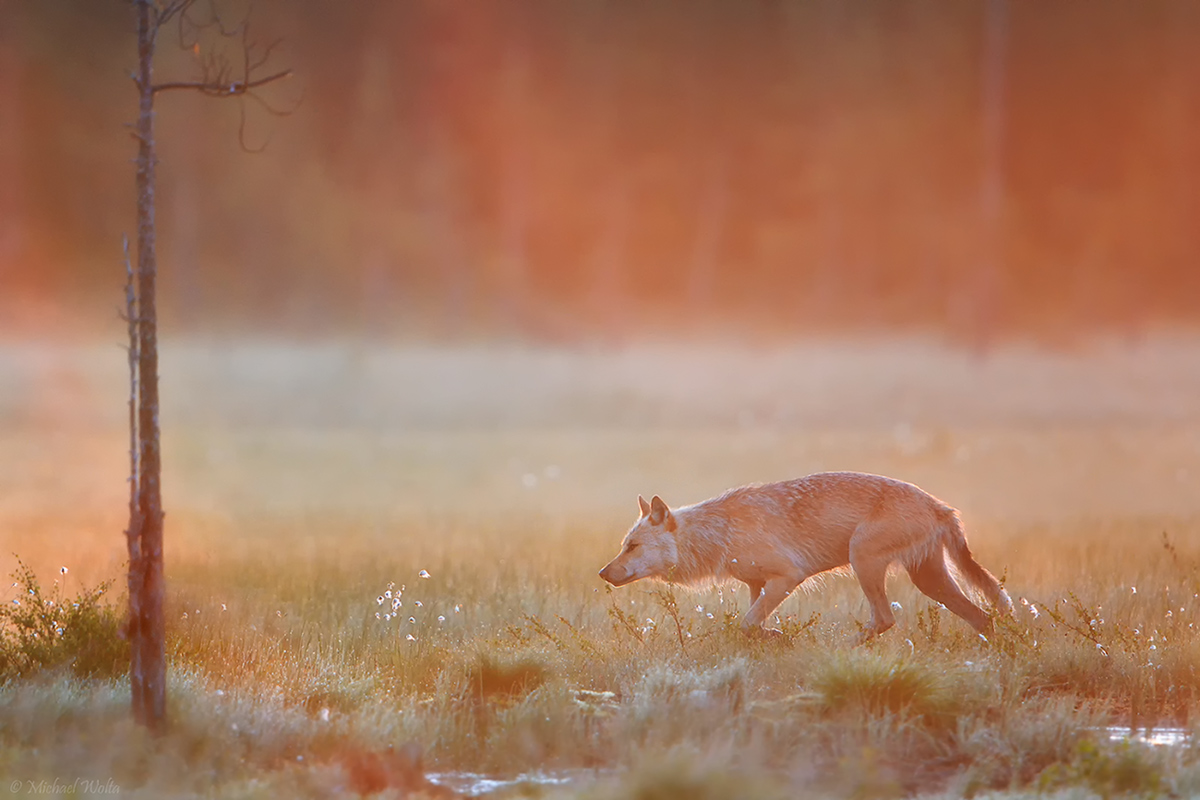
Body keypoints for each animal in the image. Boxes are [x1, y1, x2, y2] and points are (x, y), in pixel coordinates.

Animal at [600, 472, 1012, 642]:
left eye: (631, 546)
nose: (603, 572)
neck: (719, 533)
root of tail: (942, 507)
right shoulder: (759, 585)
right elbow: (751, 625)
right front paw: (774, 637)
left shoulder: (788, 577)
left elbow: (747, 624)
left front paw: (780, 637)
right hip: (928, 580)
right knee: (983, 617)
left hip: (863, 559)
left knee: (885, 620)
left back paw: (839, 648)